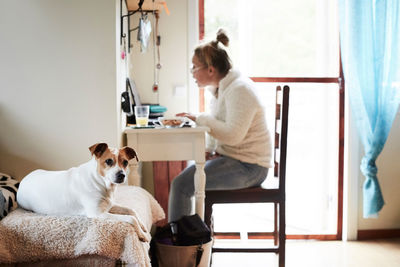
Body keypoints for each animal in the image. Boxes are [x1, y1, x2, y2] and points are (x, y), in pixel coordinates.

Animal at [16, 144, 151, 243]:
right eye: (108, 161)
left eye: (125, 162)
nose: (121, 175)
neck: (100, 182)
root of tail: (24, 180)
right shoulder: (97, 213)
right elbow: (131, 218)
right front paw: (143, 235)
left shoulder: (110, 205)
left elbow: (132, 211)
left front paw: (143, 226)